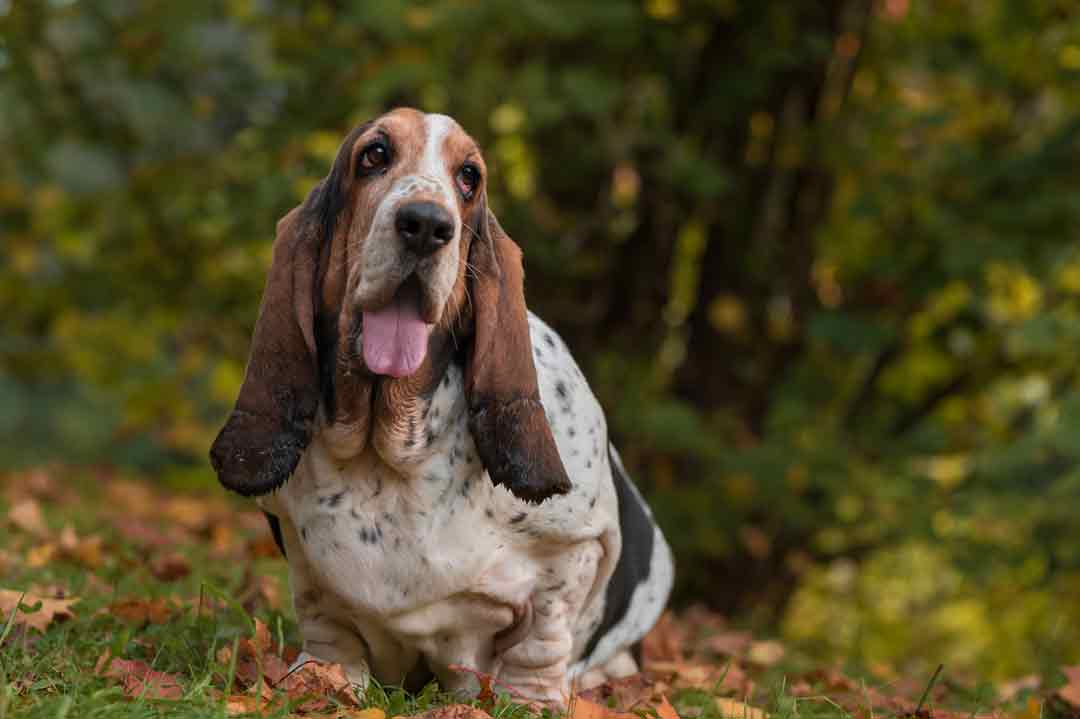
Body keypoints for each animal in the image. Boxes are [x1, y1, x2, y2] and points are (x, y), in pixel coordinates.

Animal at [206, 106, 669, 699]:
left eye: (469, 177)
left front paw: (530, 700)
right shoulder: (306, 567)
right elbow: (327, 623)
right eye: (374, 155)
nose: (426, 224)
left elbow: (542, 636)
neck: (390, 450)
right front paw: (323, 681)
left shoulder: (577, 548)